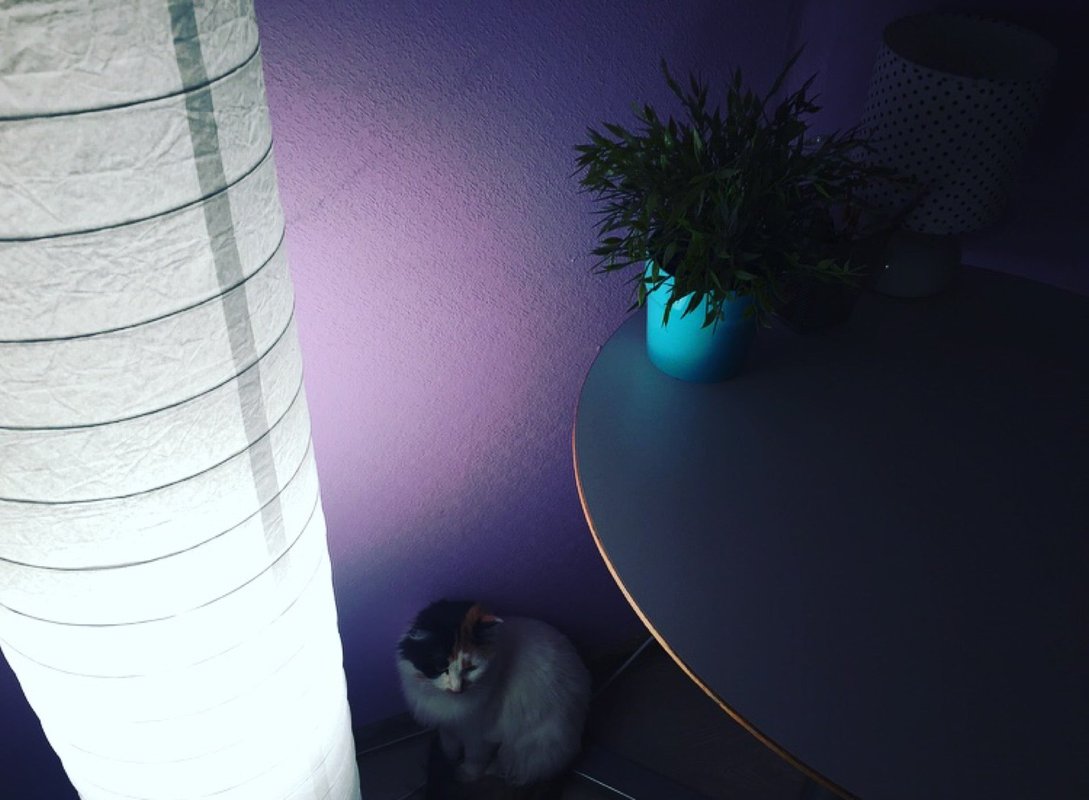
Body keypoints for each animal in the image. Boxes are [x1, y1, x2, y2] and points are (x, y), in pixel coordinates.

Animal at [396, 599, 591, 789]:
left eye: (471, 668)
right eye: (440, 667)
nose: (457, 688)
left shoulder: (478, 732)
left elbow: (474, 758)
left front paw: (465, 774)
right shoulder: (449, 724)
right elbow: (449, 744)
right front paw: (448, 759)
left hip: (534, 746)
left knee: (518, 766)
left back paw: (494, 769)